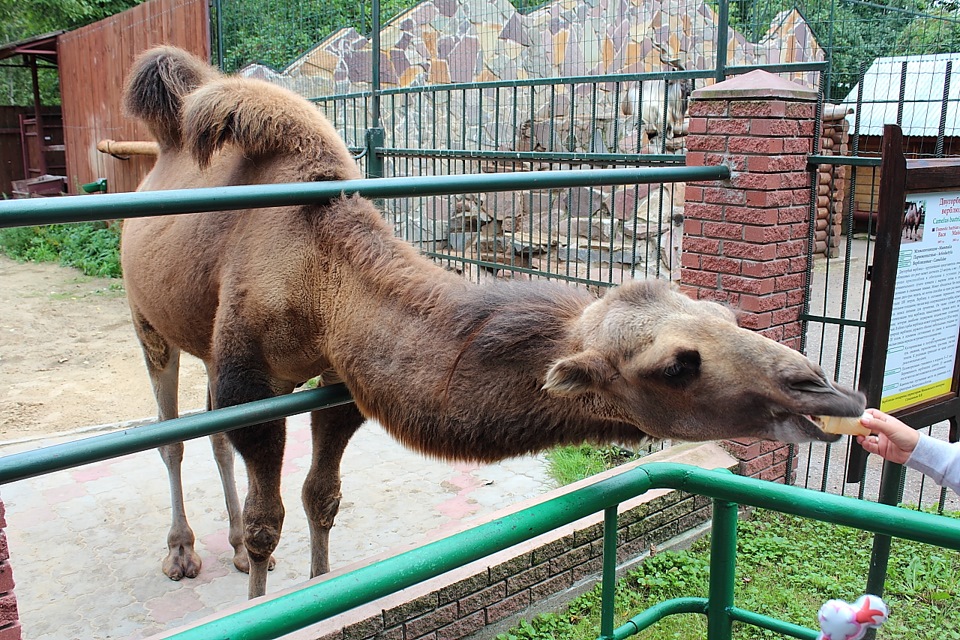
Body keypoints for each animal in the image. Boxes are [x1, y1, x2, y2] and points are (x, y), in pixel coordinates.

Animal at [122, 46, 872, 600]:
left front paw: (315, 582)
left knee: (209, 435)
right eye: (676, 365)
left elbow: (321, 499)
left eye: (724, 313)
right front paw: (260, 581)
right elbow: (266, 519)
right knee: (172, 434)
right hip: (147, 321)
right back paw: (182, 553)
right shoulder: (250, 369)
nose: (827, 389)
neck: (321, 271)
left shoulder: (341, 382)